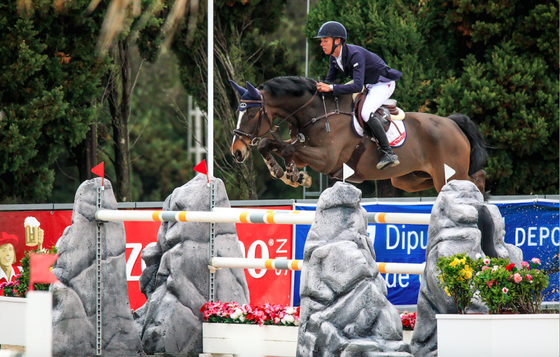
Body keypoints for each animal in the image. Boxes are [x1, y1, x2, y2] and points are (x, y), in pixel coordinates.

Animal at [230, 74, 488, 192]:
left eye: (251, 114)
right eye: (238, 112)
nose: (236, 152)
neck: (315, 112)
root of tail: (452, 123)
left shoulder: (326, 158)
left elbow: (287, 149)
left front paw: (294, 175)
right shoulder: (306, 151)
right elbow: (268, 144)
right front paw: (287, 174)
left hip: (450, 174)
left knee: (474, 179)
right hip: (411, 178)